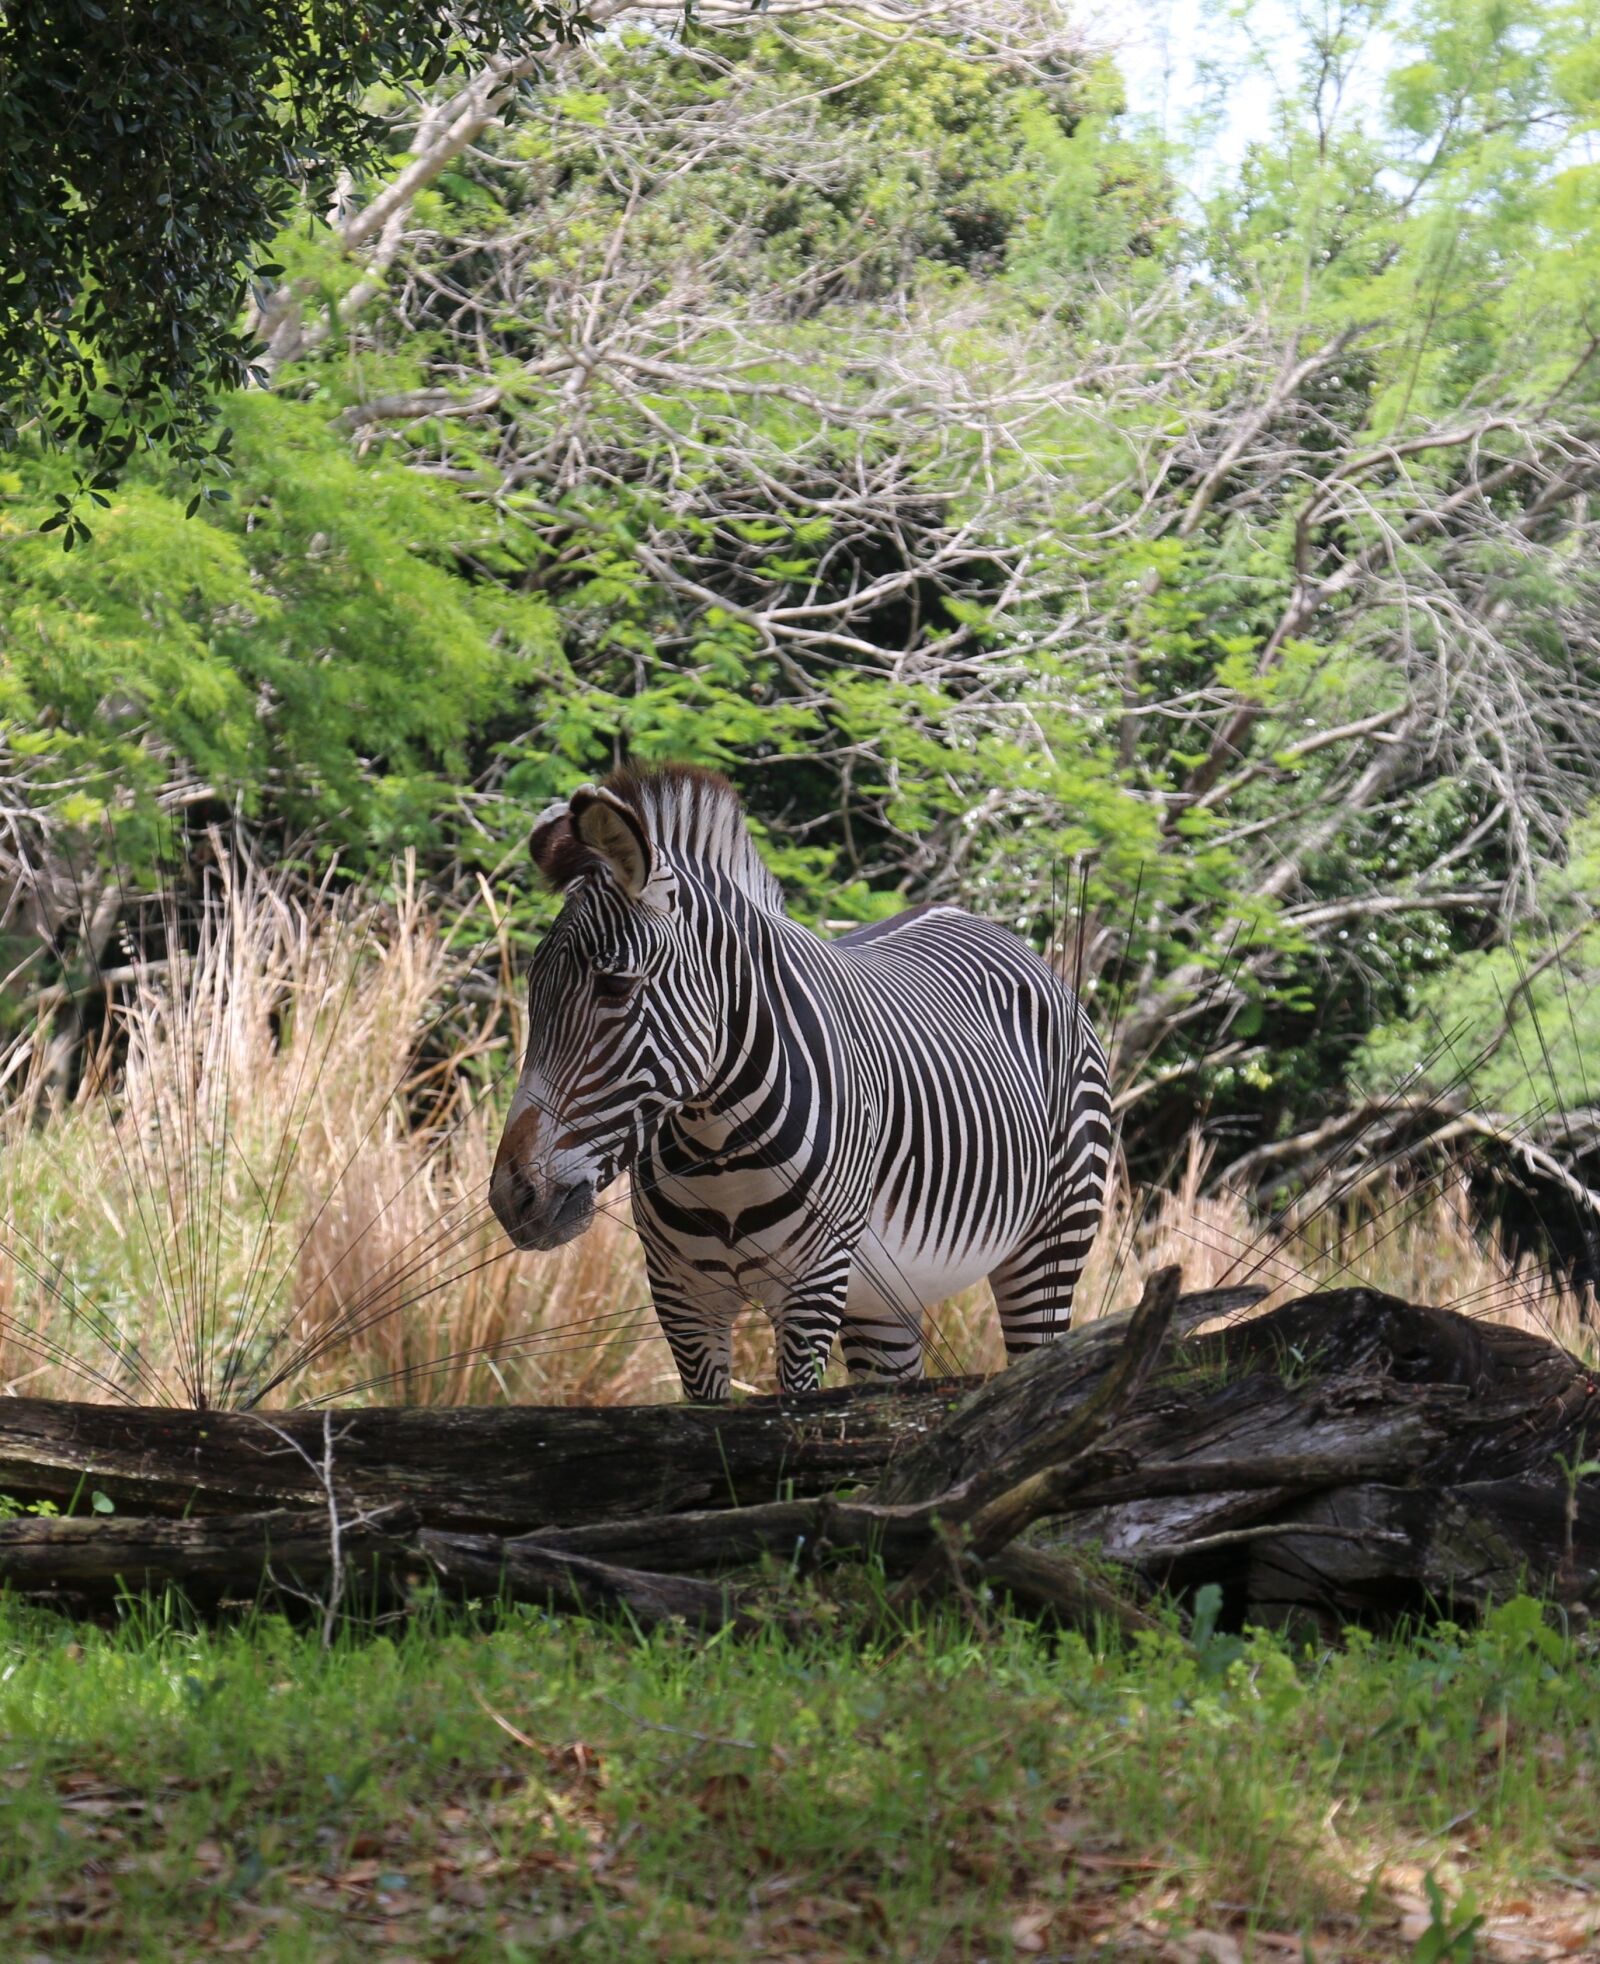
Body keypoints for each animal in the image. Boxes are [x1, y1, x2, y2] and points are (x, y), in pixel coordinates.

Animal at [490, 765, 1112, 1401]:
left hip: (1052, 1244)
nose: (515, 1198)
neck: (718, 1153)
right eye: (533, 988)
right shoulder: (681, 1296)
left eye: (615, 986)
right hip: (887, 1300)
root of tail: (977, 920)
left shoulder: (814, 1286)